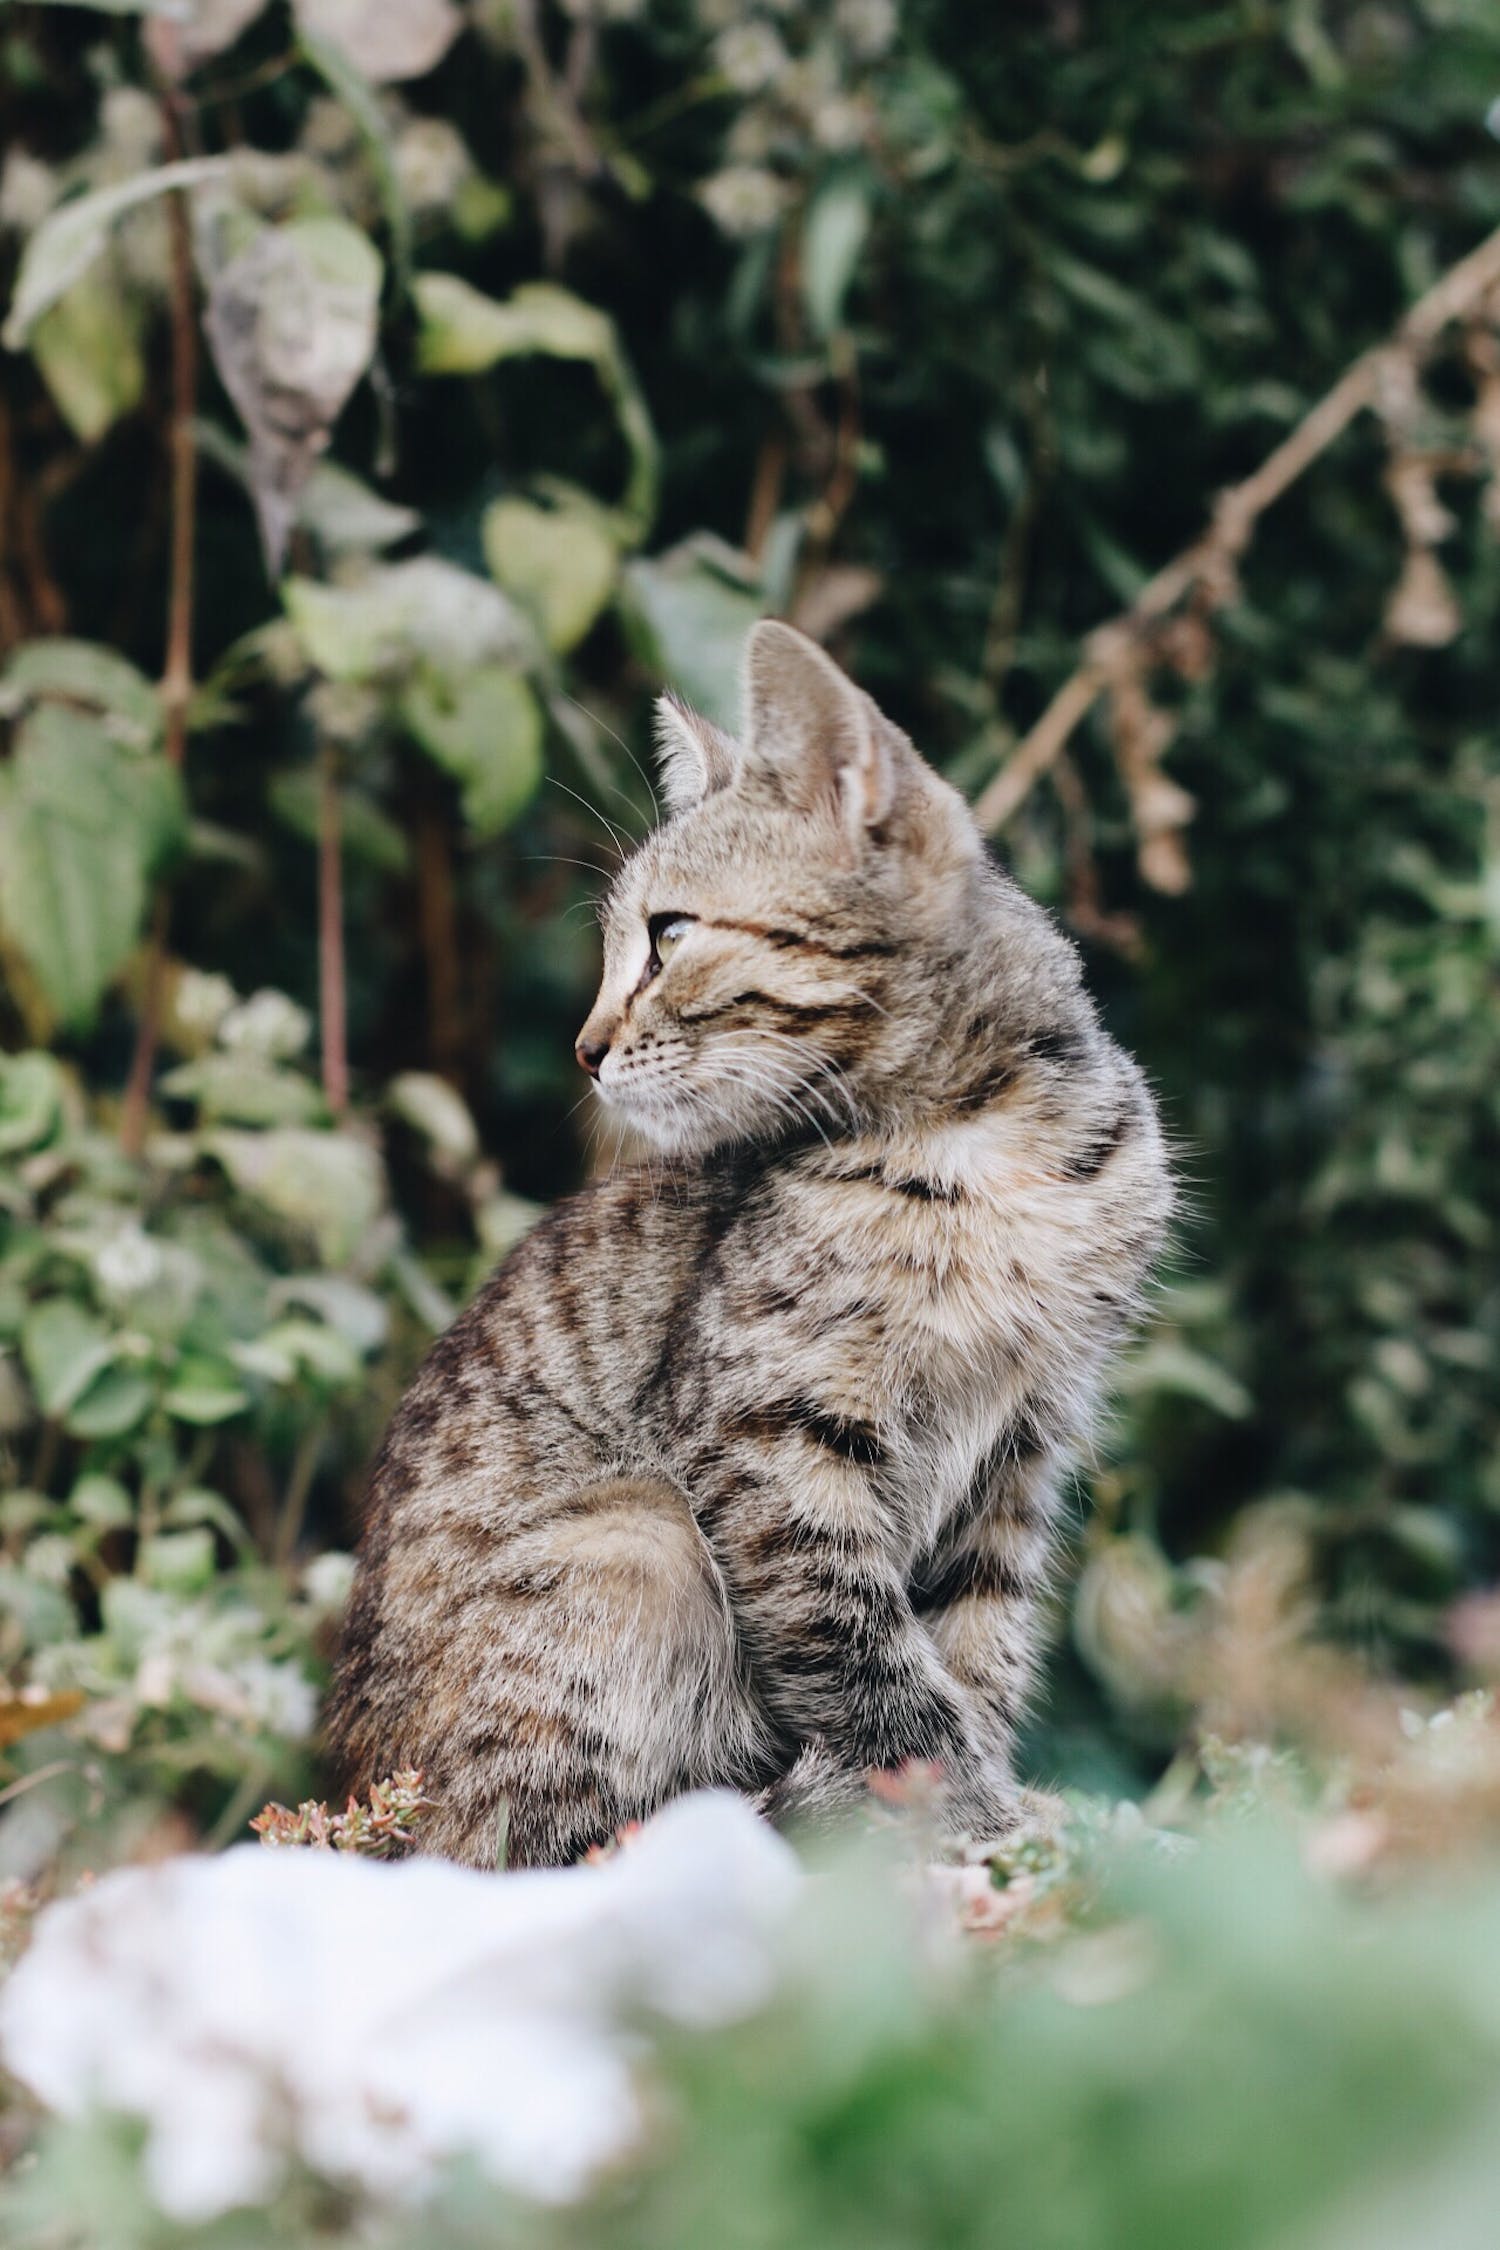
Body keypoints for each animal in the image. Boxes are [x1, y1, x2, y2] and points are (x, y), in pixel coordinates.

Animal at [330, 621, 1169, 1863]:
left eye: (670, 934)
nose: (584, 1048)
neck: (986, 1146)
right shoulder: (772, 1437)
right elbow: (875, 1667)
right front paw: (964, 1809)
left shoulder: (1022, 1450)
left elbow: (978, 1649)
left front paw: (1001, 1805)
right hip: (643, 1539)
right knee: (547, 1846)